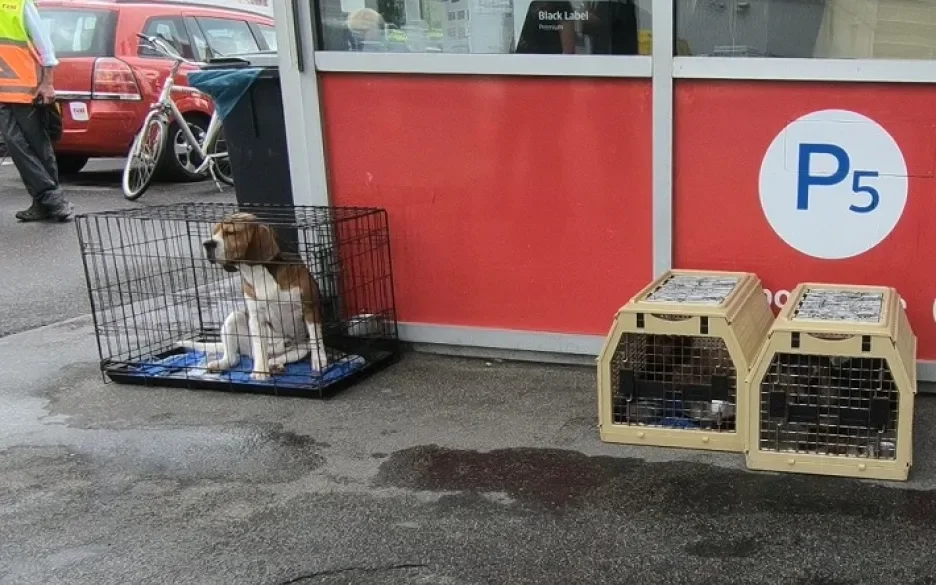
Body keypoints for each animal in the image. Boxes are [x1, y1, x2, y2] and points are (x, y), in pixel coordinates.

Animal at [179, 212, 330, 380]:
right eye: (214, 232)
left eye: (230, 232)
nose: (207, 243)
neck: (258, 272)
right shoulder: (256, 316)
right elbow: (259, 346)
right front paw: (260, 371)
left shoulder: (309, 308)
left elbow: (316, 339)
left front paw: (319, 361)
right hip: (234, 318)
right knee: (234, 358)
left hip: (301, 347)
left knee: (288, 353)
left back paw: (276, 362)